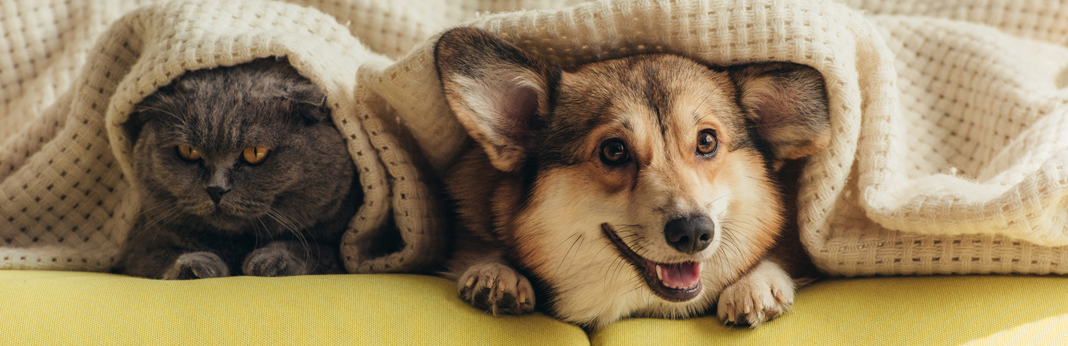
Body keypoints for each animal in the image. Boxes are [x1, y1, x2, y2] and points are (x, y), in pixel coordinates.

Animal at [115, 58, 360, 279]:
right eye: (188, 151)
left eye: (255, 152)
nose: (216, 189)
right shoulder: (141, 245)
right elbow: (162, 256)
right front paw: (196, 266)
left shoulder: (340, 251)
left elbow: (311, 249)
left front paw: (272, 261)